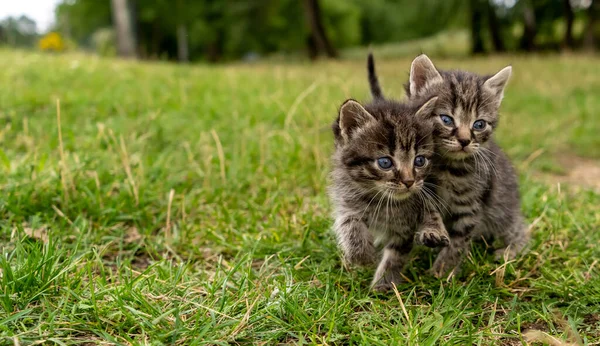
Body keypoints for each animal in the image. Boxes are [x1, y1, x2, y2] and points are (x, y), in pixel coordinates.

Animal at [330, 93, 448, 290]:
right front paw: (362, 256)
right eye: (385, 162)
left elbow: (394, 257)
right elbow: (348, 222)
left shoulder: (405, 227)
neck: (383, 200)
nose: (409, 182)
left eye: (420, 161)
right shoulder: (346, 198)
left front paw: (382, 286)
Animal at [400, 55, 528, 278]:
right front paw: (433, 232)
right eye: (446, 119)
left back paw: (509, 251)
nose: (465, 140)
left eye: (479, 124)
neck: (448, 168)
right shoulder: (419, 187)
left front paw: (442, 272)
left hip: (504, 209)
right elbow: (429, 211)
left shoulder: (471, 207)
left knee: (520, 229)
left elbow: (458, 242)